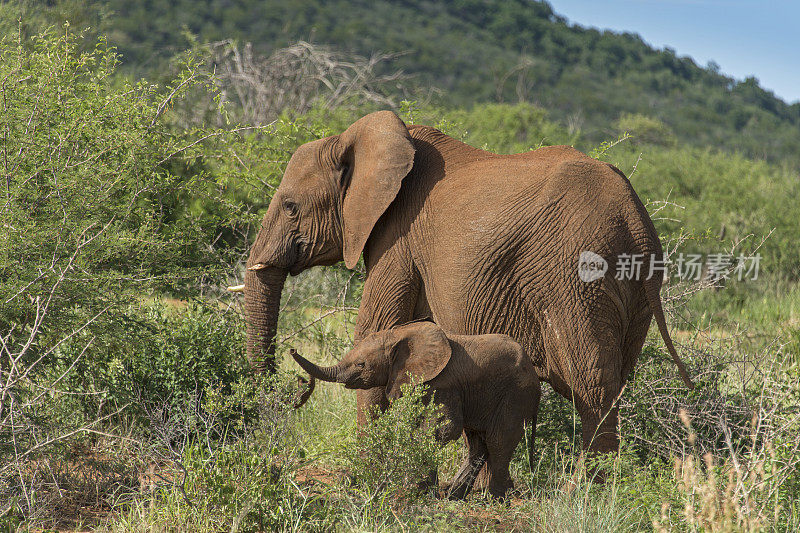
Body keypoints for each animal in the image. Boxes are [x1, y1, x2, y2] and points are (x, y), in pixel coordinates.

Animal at [245, 110, 692, 456]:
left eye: (290, 207)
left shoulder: (398, 235)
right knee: (616, 381)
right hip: (633, 290)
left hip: (576, 277)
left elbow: (376, 328)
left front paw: (367, 464)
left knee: (593, 385)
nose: (293, 390)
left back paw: (584, 489)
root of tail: (635, 218)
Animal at [290, 320, 540, 498]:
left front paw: (415, 488)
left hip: (516, 395)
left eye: (361, 364)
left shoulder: (443, 385)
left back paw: (495, 498)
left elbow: (444, 429)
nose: (292, 350)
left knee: (498, 441)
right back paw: (452, 495)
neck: (398, 336)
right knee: (477, 444)